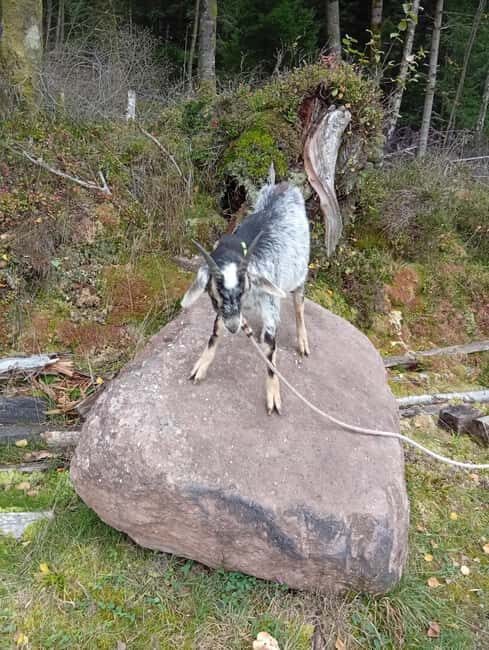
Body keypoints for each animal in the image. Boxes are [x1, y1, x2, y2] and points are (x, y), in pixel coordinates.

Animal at [181, 167, 310, 414]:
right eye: (214, 295)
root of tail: (284, 186)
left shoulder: (269, 303)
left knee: (299, 304)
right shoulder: (229, 311)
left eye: (242, 289)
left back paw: (303, 342)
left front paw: (273, 398)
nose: (233, 327)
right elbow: (215, 330)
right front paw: (201, 366)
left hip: (300, 271)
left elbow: (271, 349)